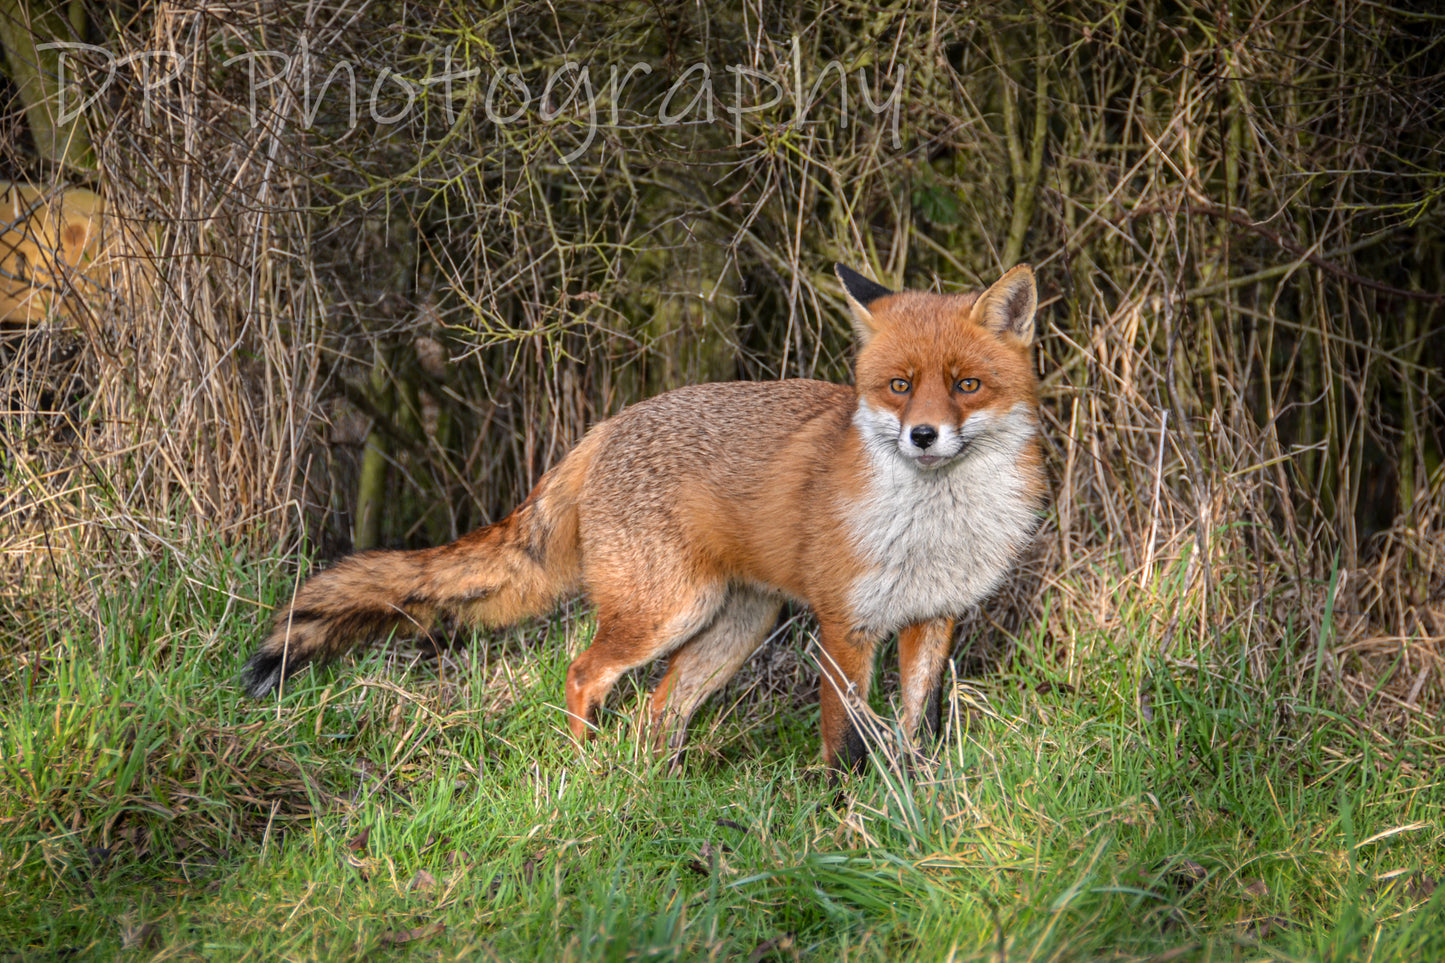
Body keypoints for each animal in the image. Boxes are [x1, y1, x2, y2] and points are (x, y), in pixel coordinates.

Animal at [243, 263, 1047, 769]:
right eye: (899, 387)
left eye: (967, 386)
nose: (923, 436)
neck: (932, 530)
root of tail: (606, 427)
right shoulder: (844, 627)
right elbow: (841, 741)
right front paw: (839, 810)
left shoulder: (933, 617)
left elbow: (915, 729)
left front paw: (913, 800)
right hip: (666, 611)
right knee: (583, 674)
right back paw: (582, 778)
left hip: (731, 624)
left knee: (656, 710)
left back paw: (653, 790)